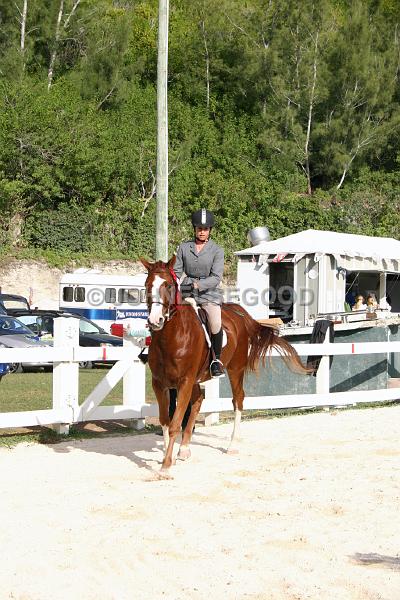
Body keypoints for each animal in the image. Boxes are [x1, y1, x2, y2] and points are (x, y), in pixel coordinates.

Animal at [142, 255, 308, 476]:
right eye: (147, 285)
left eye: (168, 285)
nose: (155, 320)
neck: (171, 337)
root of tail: (238, 312)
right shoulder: (159, 384)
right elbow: (164, 421)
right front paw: (167, 458)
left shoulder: (184, 382)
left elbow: (175, 423)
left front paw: (166, 467)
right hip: (197, 379)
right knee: (198, 401)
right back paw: (184, 449)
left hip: (235, 370)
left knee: (238, 400)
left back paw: (232, 445)